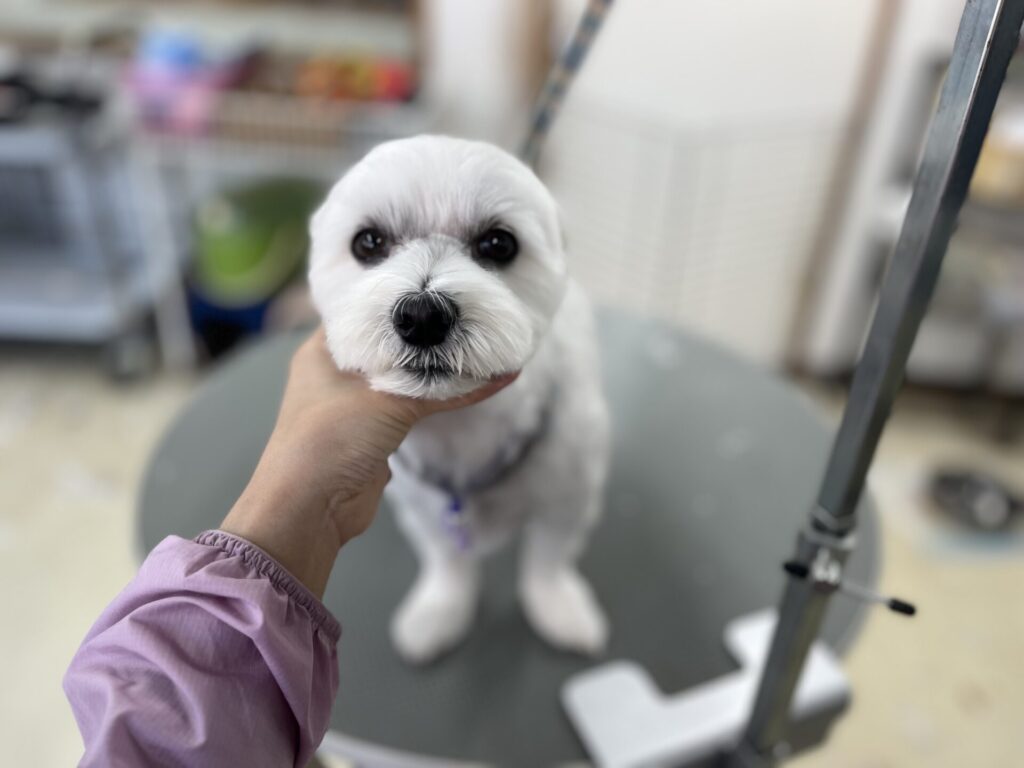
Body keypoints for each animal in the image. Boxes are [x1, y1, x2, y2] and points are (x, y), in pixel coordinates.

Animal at [308, 135, 610, 663]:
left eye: (498, 244)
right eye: (368, 242)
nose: (422, 315)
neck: (463, 430)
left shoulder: (568, 496)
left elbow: (549, 557)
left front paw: (557, 606)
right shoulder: (423, 509)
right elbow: (446, 560)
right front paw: (440, 610)